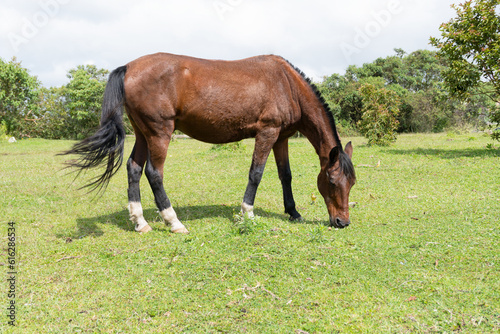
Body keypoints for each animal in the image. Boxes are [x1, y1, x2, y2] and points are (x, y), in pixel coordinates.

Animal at [62, 53, 358, 234]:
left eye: (352, 183)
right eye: (332, 181)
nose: (343, 222)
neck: (286, 84)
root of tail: (129, 67)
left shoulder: (281, 137)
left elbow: (285, 175)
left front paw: (293, 212)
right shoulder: (267, 132)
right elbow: (256, 174)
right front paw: (247, 213)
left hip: (143, 133)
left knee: (134, 168)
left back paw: (140, 222)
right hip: (159, 133)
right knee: (154, 173)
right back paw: (174, 221)